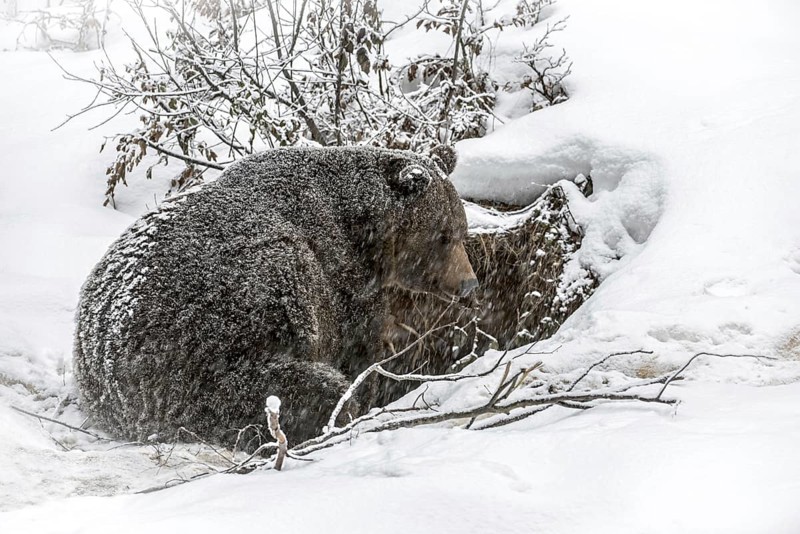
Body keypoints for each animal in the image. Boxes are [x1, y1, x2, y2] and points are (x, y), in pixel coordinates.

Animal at [73, 146, 477, 447]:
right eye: (444, 235)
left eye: (462, 231)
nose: (469, 283)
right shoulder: (337, 279)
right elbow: (360, 346)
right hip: (213, 341)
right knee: (291, 388)